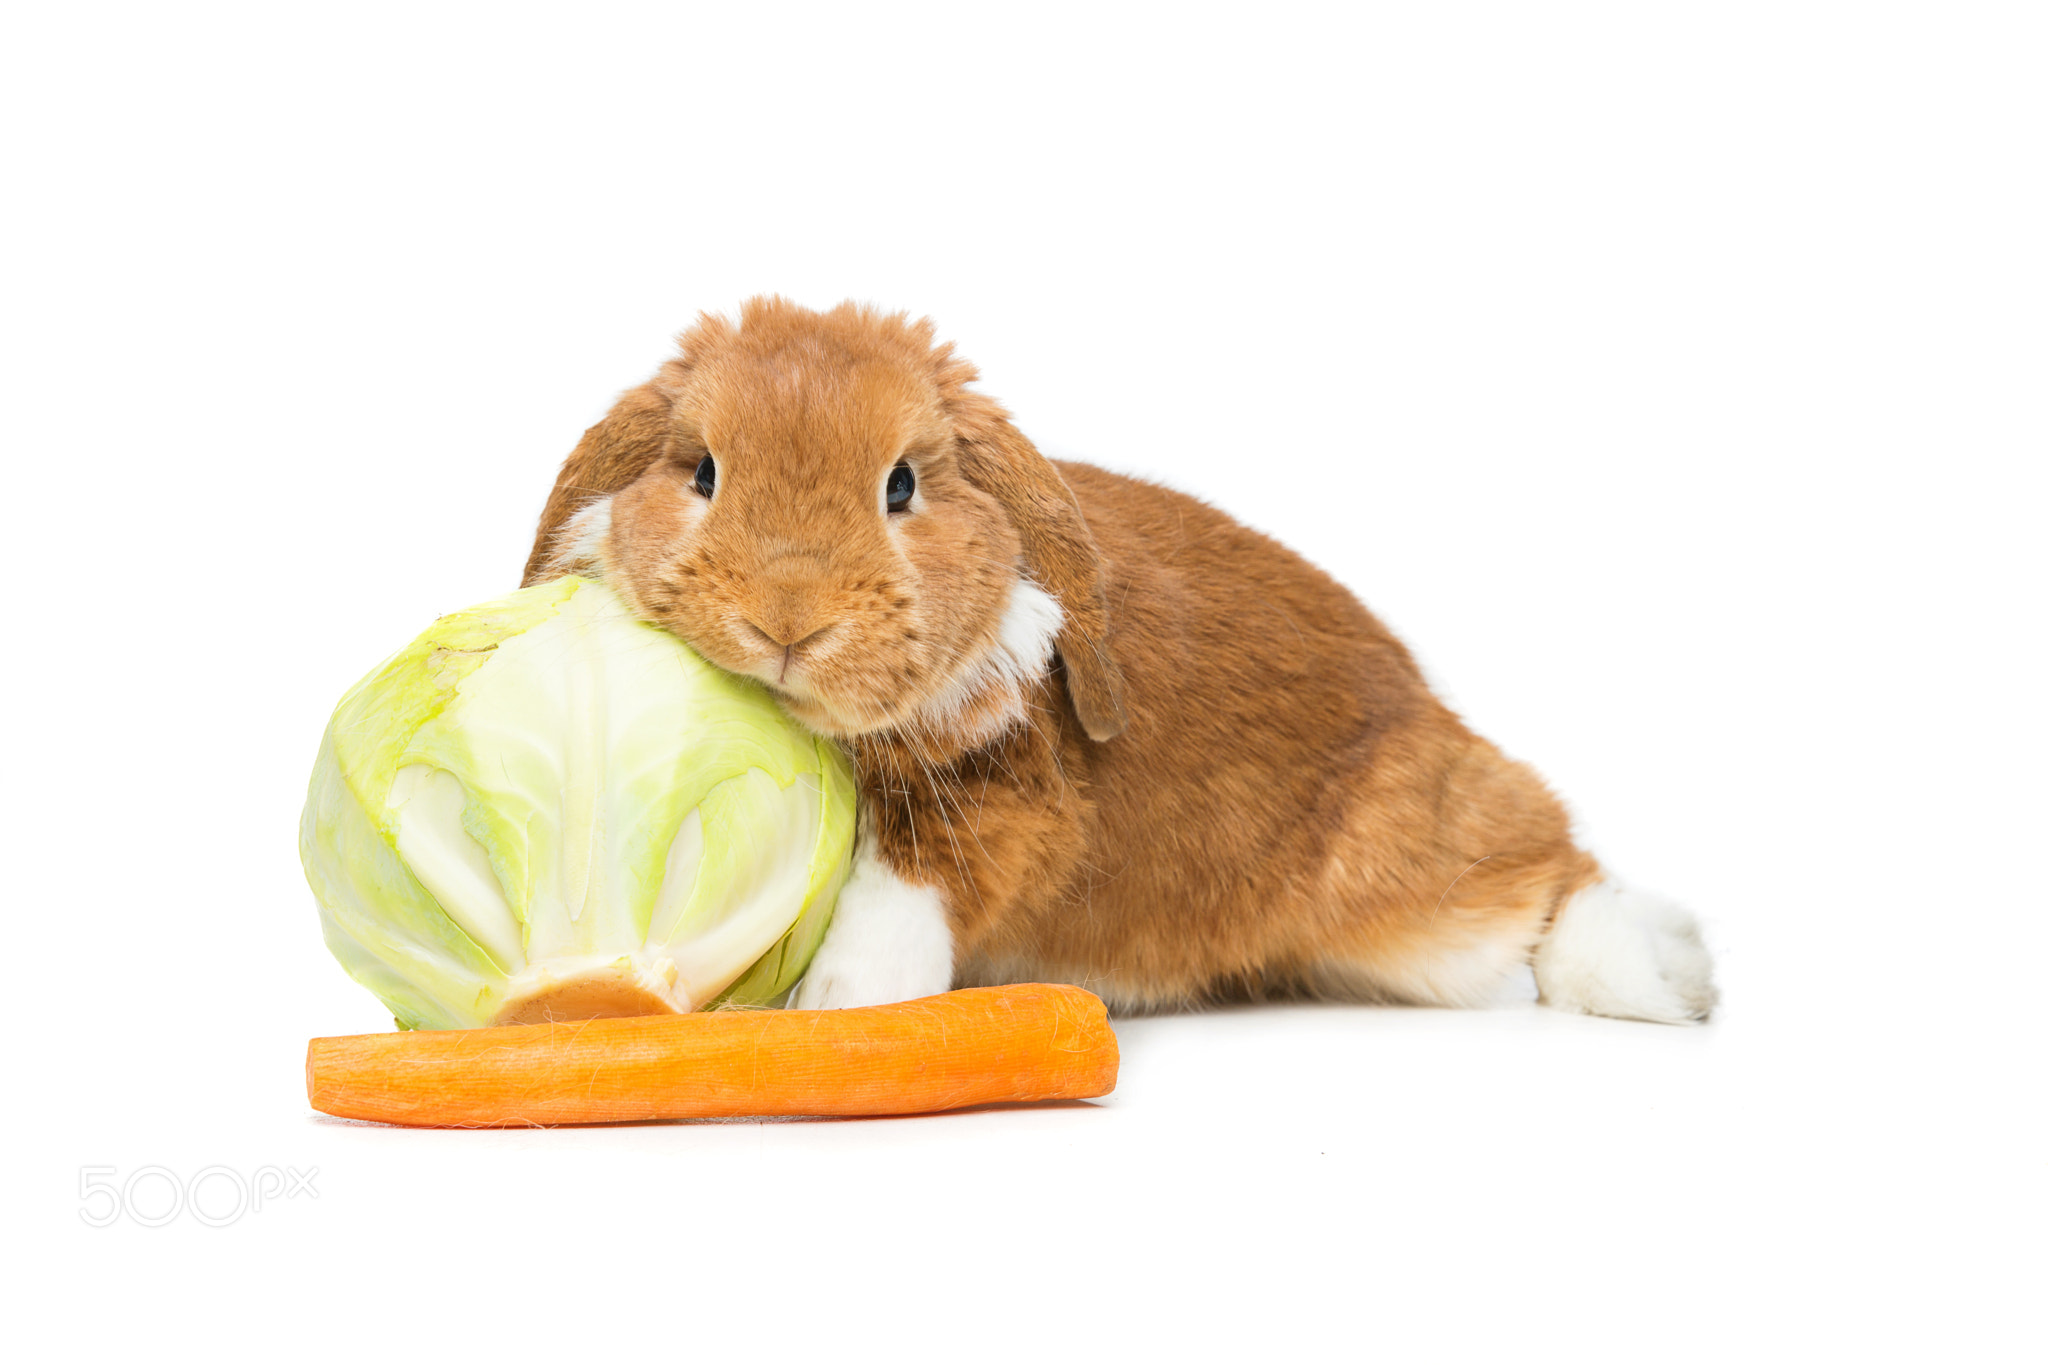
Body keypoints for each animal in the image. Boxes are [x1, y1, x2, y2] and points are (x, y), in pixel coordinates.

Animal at [521, 296, 1717, 1024]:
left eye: (901, 485)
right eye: (703, 472)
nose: (786, 621)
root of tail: (1428, 706)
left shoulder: (1006, 801)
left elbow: (901, 891)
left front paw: (841, 1008)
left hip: (1427, 892)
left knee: (1554, 869)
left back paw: (1664, 972)